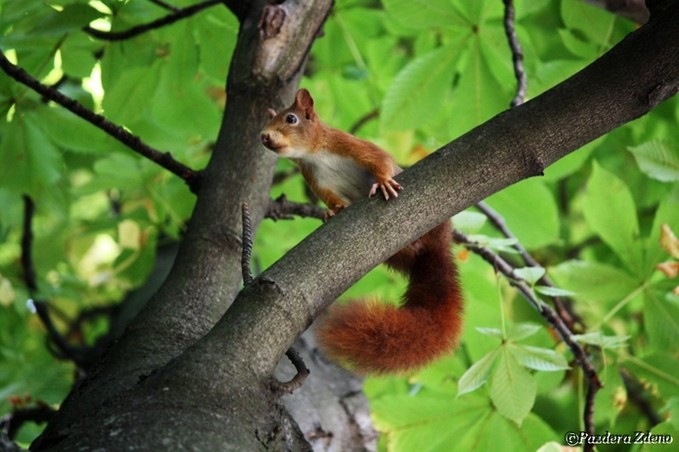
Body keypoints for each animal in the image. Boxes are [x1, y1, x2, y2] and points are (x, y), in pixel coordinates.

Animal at [260, 89, 462, 374]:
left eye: (291, 118)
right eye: (270, 120)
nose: (264, 136)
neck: (315, 154)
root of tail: (438, 247)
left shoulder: (349, 144)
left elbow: (379, 158)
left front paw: (384, 181)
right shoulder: (316, 179)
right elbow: (331, 199)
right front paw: (332, 212)